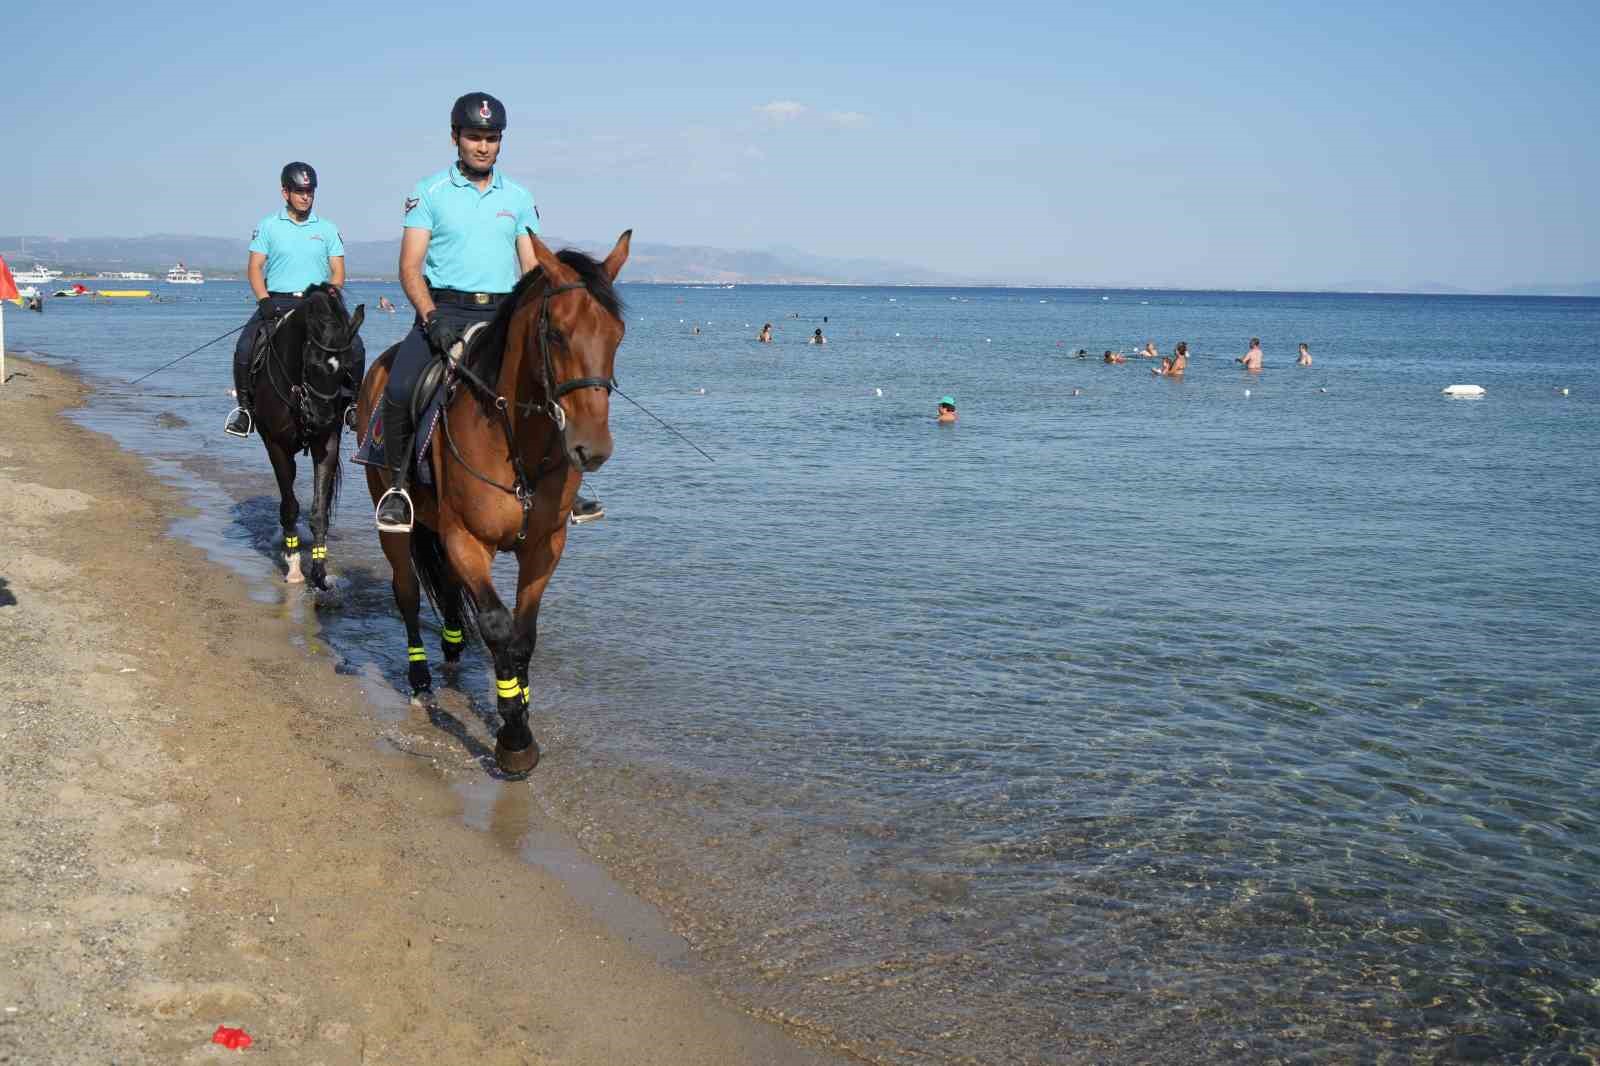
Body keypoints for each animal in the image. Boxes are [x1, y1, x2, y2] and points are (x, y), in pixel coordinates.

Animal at [244, 284, 364, 589]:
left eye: (347, 366)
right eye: (311, 365)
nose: (321, 418)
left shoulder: (326, 444)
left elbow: (319, 510)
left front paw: (320, 573)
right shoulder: (276, 446)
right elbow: (289, 506)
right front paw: (295, 565)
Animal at [358, 232, 630, 768]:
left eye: (618, 335)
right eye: (557, 334)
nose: (591, 449)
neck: (515, 436)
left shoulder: (544, 546)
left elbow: (524, 633)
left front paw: (520, 701)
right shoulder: (467, 540)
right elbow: (500, 626)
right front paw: (514, 737)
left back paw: (452, 649)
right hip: (393, 516)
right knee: (407, 591)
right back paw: (420, 679)